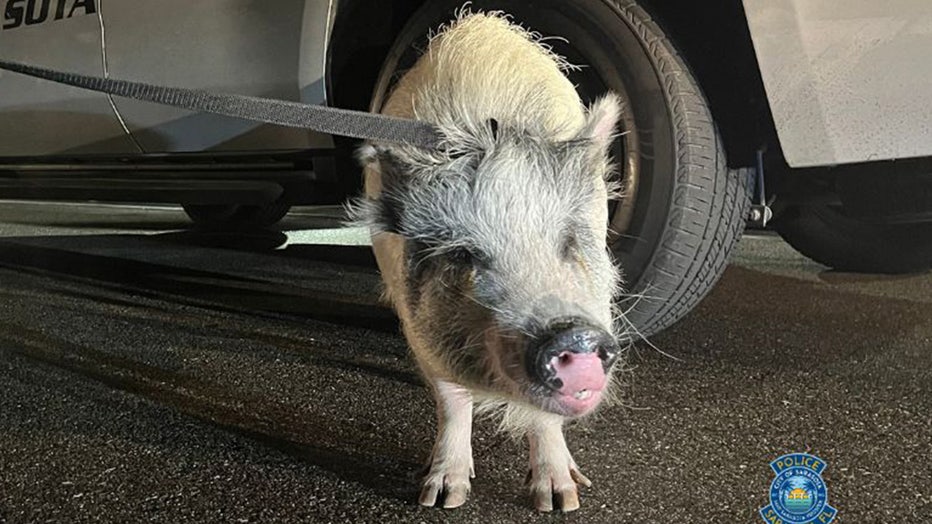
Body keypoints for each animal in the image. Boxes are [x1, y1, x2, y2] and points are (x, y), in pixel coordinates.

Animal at [352, 11, 624, 512]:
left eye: (569, 241)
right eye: (464, 254)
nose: (572, 333)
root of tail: (482, 23)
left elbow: (544, 418)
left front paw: (561, 501)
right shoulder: (419, 324)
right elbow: (450, 398)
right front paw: (441, 497)